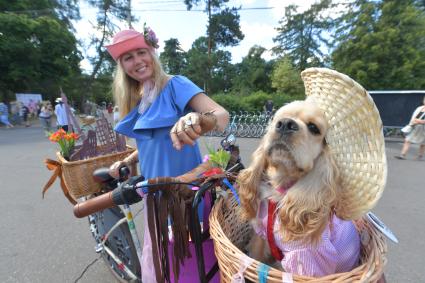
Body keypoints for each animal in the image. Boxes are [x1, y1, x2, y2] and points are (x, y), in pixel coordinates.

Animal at [237, 99, 360, 278]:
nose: (285, 124)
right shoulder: (260, 236)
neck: (280, 189)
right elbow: (256, 257)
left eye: (314, 128)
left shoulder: (306, 256)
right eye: (275, 119)